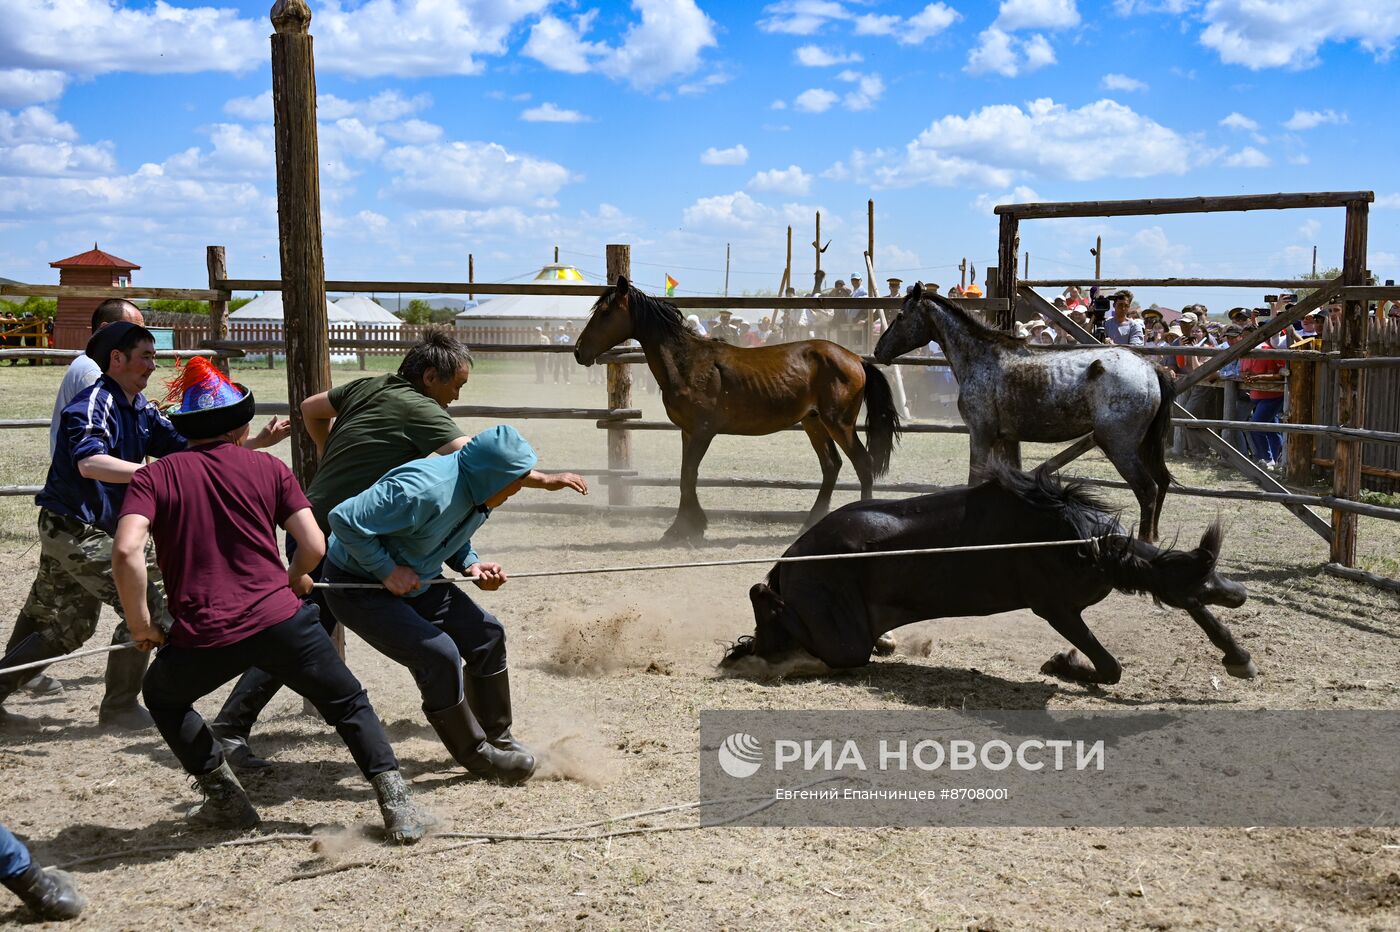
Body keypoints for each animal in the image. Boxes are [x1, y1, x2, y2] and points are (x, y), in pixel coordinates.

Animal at [722, 461, 1260, 682]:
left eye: (1220, 580)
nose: (1239, 594)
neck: (1077, 540)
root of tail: (792, 557)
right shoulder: (1055, 607)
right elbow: (1111, 667)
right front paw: (1063, 664)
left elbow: (1187, 600)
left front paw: (1238, 657)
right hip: (839, 634)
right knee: (767, 607)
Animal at [873, 285, 1170, 545]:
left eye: (900, 316)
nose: (878, 350)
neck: (981, 358)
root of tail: (1149, 368)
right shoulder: (1003, 438)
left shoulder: (980, 434)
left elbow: (974, 479)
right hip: (1143, 445)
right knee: (1162, 481)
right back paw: (1154, 535)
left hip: (1119, 445)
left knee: (1148, 489)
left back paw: (1145, 540)